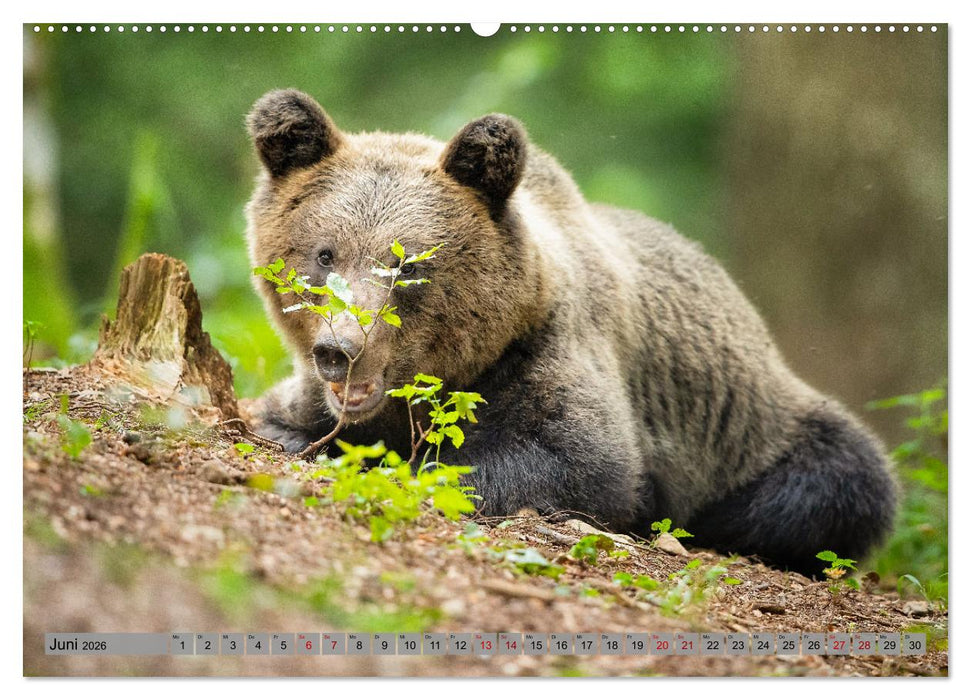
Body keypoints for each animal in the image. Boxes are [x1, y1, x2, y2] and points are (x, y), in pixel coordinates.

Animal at [244, 88, 897, 576]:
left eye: (407, 265)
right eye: (324, 254)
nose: (340, 351)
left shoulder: (548, 356)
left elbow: (582, 463)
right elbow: (282, 416)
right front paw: (295, 436)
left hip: (760, 428)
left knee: (841, 478)